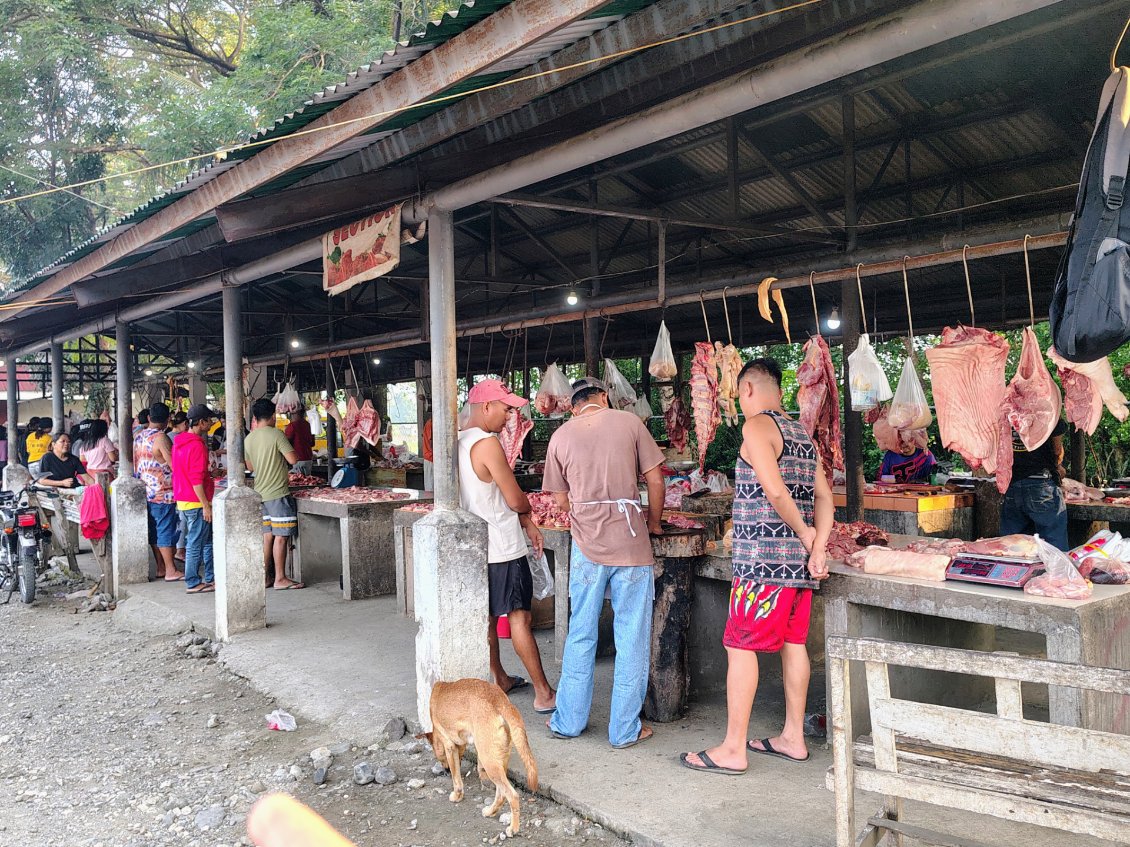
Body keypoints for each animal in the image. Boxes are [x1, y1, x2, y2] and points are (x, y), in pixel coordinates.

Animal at [420, 682, 537, 840]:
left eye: (438, 755)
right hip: (498, 762)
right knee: (501, 794)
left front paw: (457, 795)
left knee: (512, 795)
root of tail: (501, 701)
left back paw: (513, 828)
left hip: (490, 762)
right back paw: (490, 812)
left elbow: (456, 779)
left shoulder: (449, 746)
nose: (445, 770)